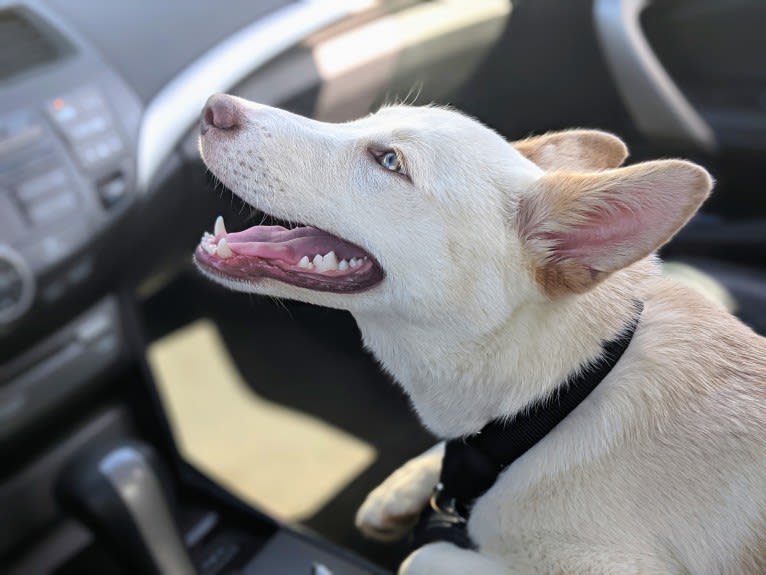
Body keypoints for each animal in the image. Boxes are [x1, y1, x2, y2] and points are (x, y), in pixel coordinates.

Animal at [195, 95, 764, 575]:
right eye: (364, 120)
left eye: (389, 161)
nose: (215, 107)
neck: (564, 397)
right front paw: (402, 489)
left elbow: (422, 556)